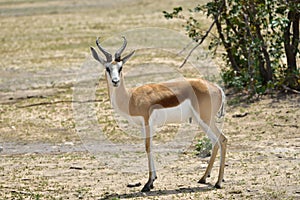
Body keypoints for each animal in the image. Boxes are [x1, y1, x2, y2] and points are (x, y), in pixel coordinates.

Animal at [90, 36, 226, 192]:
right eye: (107, 68)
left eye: (120, 67)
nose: (115, 81)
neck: (131, 97)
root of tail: (217, 88)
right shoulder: (143, 126)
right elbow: (150, 147)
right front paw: (153, 180)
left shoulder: (148, 123)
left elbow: (148, 147)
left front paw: (148, 183)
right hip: (202, 121)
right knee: (215, 142)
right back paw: (203, 178)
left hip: (205, 119)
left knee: (222, 139)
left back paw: (218, 182)